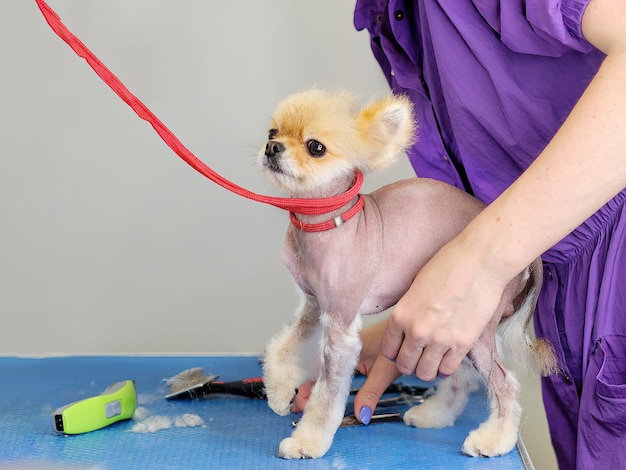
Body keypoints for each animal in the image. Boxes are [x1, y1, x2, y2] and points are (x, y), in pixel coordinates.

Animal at [258, 88, 556, 458]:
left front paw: (306, 441)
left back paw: (494, 440)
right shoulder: (315, 307)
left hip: (474, 327)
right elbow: (283, 346)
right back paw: (434, 415)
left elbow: (327, 393)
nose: (272, 148)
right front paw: (280, 392)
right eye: (273, 133)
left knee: (504, 385)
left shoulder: (341, 325)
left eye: (315, 147)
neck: (327, 224)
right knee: (462, 377)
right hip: (459, 333)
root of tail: (530, 260)